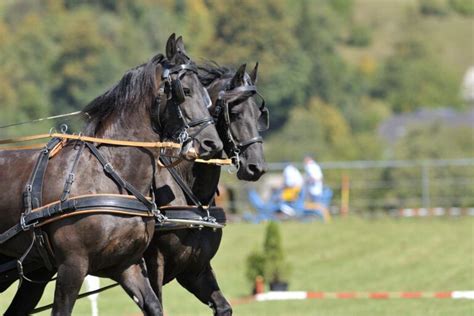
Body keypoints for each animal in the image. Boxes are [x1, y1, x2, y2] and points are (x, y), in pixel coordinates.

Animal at [0, 34, 220, 316]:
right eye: (186, 91)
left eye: (207, 95)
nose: (212, 143)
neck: (108, 175)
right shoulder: (72, 266)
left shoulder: (126, 265)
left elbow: (153, 305)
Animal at [145, 60, 266, 314]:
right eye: (235, 114)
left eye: (259, 115)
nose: (256, 167)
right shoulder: (152, 267)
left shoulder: (195, 270)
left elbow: (223, 306)